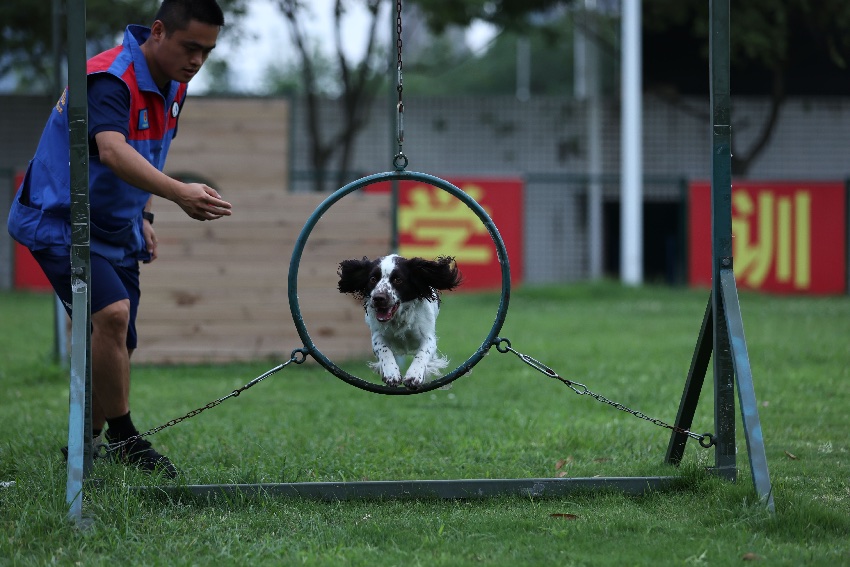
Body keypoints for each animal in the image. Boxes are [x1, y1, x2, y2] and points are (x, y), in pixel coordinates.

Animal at [334, 255, 460, 388]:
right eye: (373, 279)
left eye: (398, 280)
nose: (378, 298)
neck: (398, 317)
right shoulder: (377, 335)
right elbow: (384, 349)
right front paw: (391, 374)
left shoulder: (428, 337)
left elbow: (422, 354)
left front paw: (413, 375)